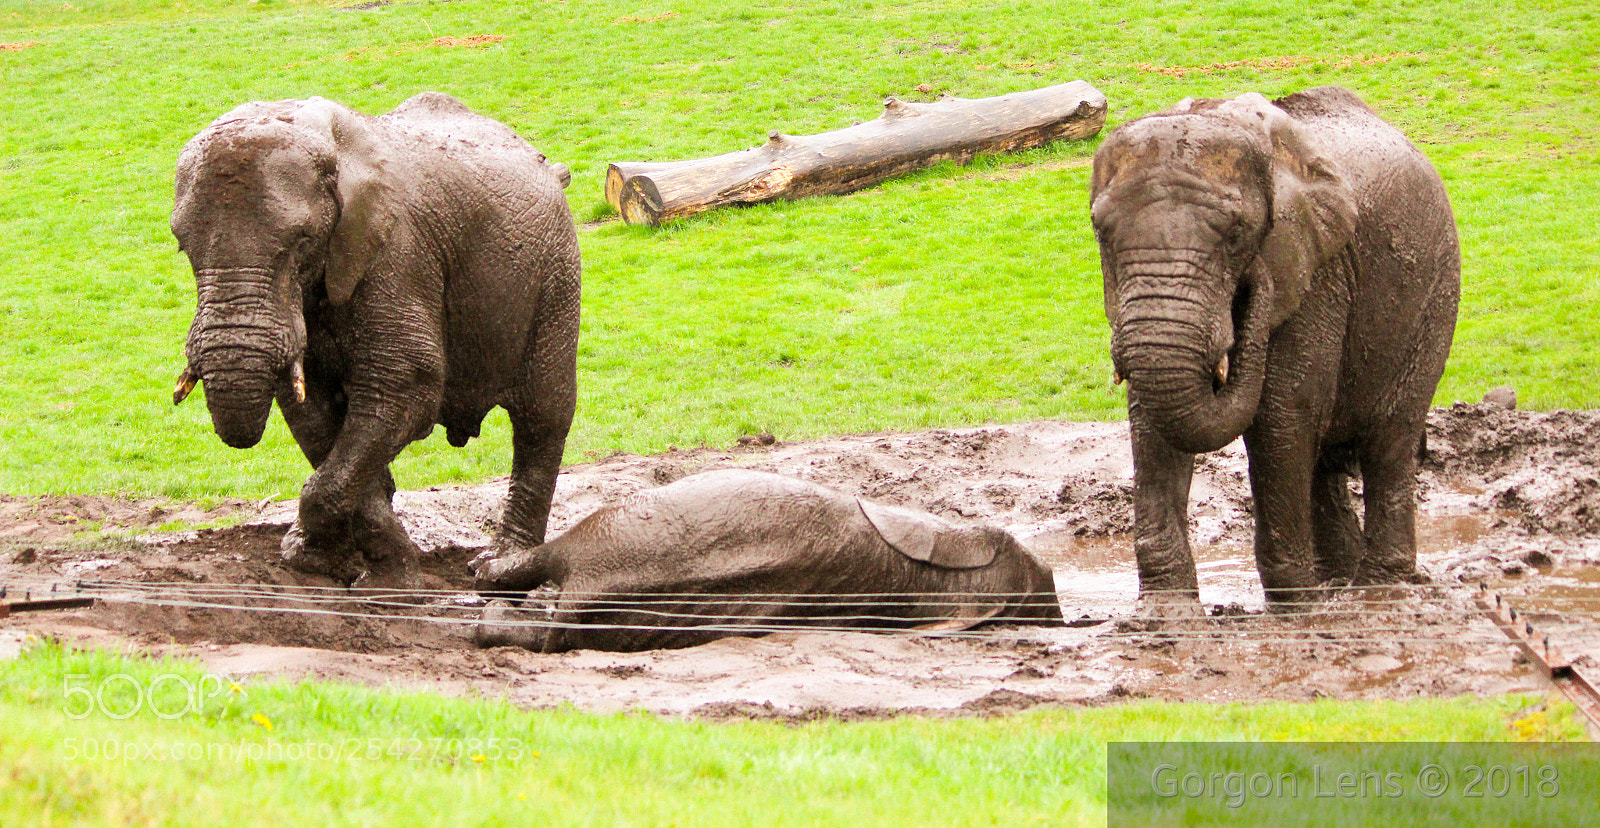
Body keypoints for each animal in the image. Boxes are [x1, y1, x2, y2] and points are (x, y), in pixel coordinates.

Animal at [170, 92, 580, 588]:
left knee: (543, 417)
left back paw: (498, 567)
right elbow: (315, 415)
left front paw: (393, 578)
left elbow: (404, 387)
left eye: (301, 241)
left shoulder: (396, 253)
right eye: (181, 245)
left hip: (556, 272)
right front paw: (327, 560)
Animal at [1088, 86, 1459, 607]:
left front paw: (1295, 607)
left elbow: (1282, 414)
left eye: (1237, 235)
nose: (1251, 285)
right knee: (1326, 459)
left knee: (1390, 443)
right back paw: (1338, 580)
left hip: (1434, 296)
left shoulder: (1316, 271)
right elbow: (1151, 421)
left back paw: (1376, 589)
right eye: (1101, 230)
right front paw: (1168, 611)